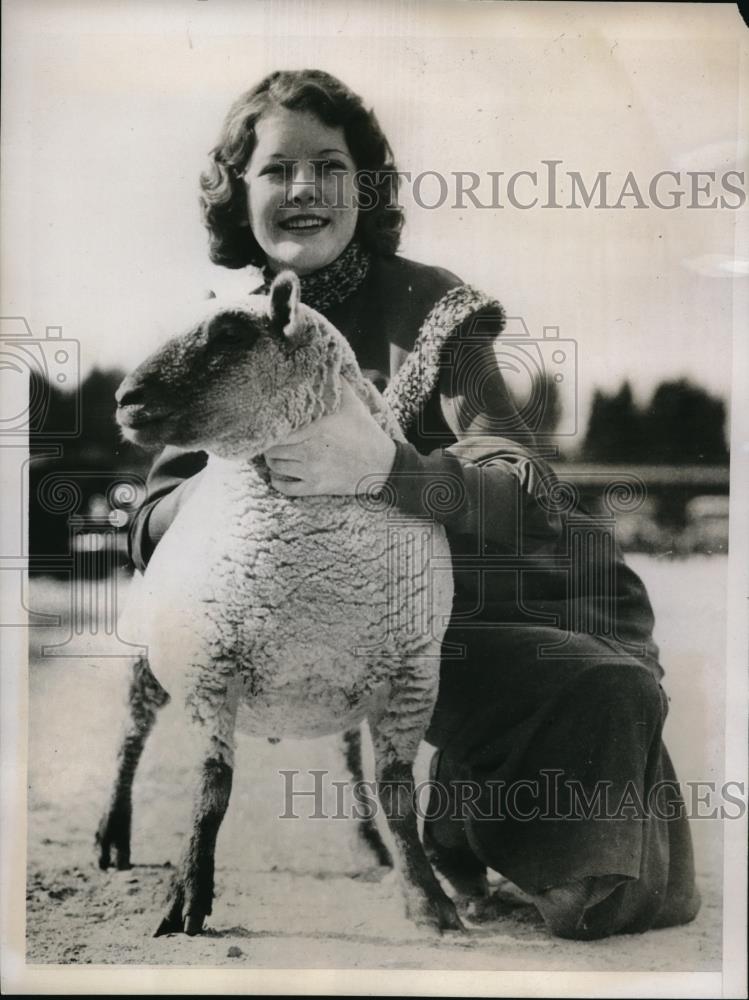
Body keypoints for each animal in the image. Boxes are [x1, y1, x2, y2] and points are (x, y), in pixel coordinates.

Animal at [96, 268, 464, 936]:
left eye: (231, 334)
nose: (124, 399)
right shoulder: (208, 670)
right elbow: (211, 790)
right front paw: (187, 900)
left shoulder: (413, 676)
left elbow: (397, 793)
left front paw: (428, 900)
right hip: (146, 649)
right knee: (131, 734)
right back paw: (112, 836)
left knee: (350, 763)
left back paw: (369, 846)